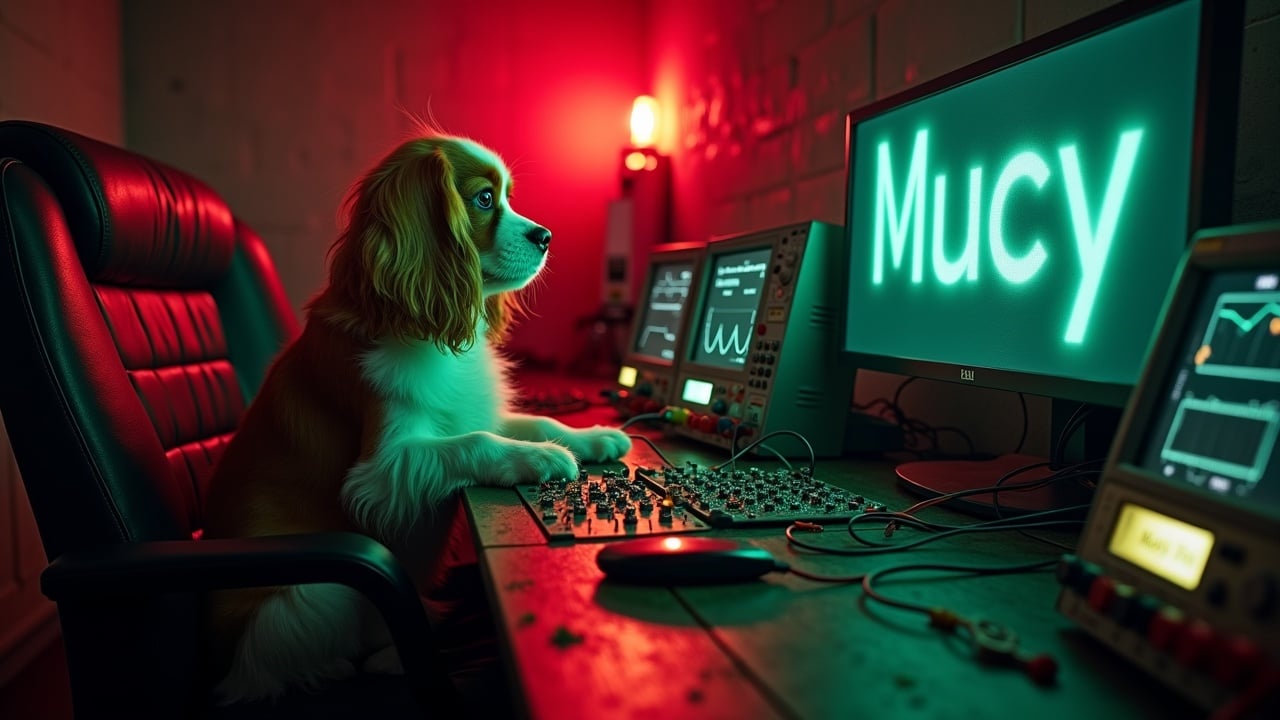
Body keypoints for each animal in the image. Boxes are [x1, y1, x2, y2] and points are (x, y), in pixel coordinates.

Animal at [200, 127, 634, 702]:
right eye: (484, 199)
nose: (546, 236)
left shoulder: (474, 411)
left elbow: (533, 422)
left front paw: (595, 436)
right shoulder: (382, 466)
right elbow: (477, 443)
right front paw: (544, 459)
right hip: (313, 594)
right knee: (269, 669)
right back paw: (368, 663)